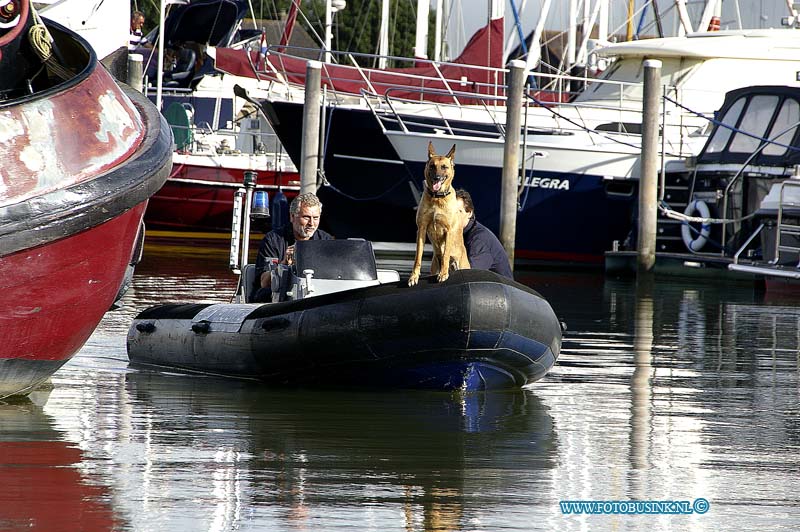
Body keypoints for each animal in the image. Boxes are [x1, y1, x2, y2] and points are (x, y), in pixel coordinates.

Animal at [406, 142, 468, 286]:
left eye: (444, 167)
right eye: (432, 166)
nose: (437, 178)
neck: (437, 197)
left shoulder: (448, 230)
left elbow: (445, 256)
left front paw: (443, 274)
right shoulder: (421, 229)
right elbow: (418, 256)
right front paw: (413, 276)